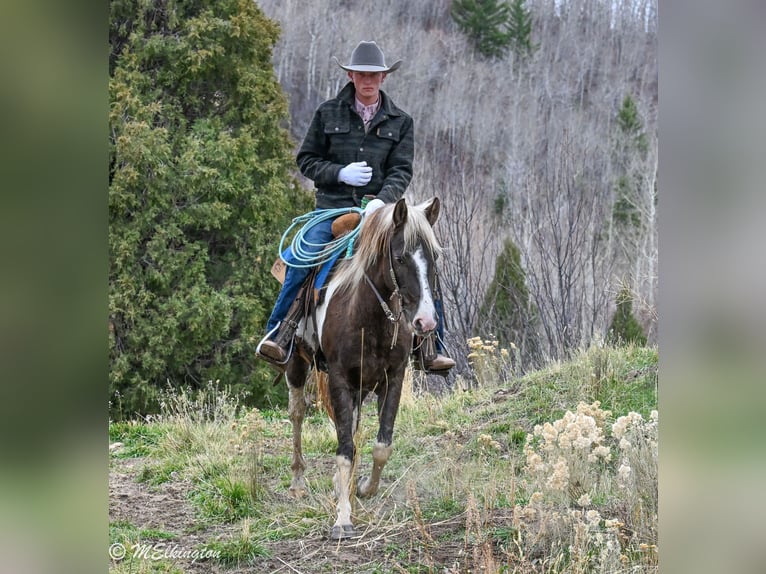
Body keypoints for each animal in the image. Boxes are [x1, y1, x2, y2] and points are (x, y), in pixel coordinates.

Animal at [282, 197, 442, 540]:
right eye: (400, 257)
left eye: (434, 256)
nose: (425, 322)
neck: (369, 316)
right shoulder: (340, 379)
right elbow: (345, 449)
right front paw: (343, 518)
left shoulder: (393, 379)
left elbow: (381, 445)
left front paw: (365, 488)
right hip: (298, 363)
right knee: (297, 413)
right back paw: (298, 481)